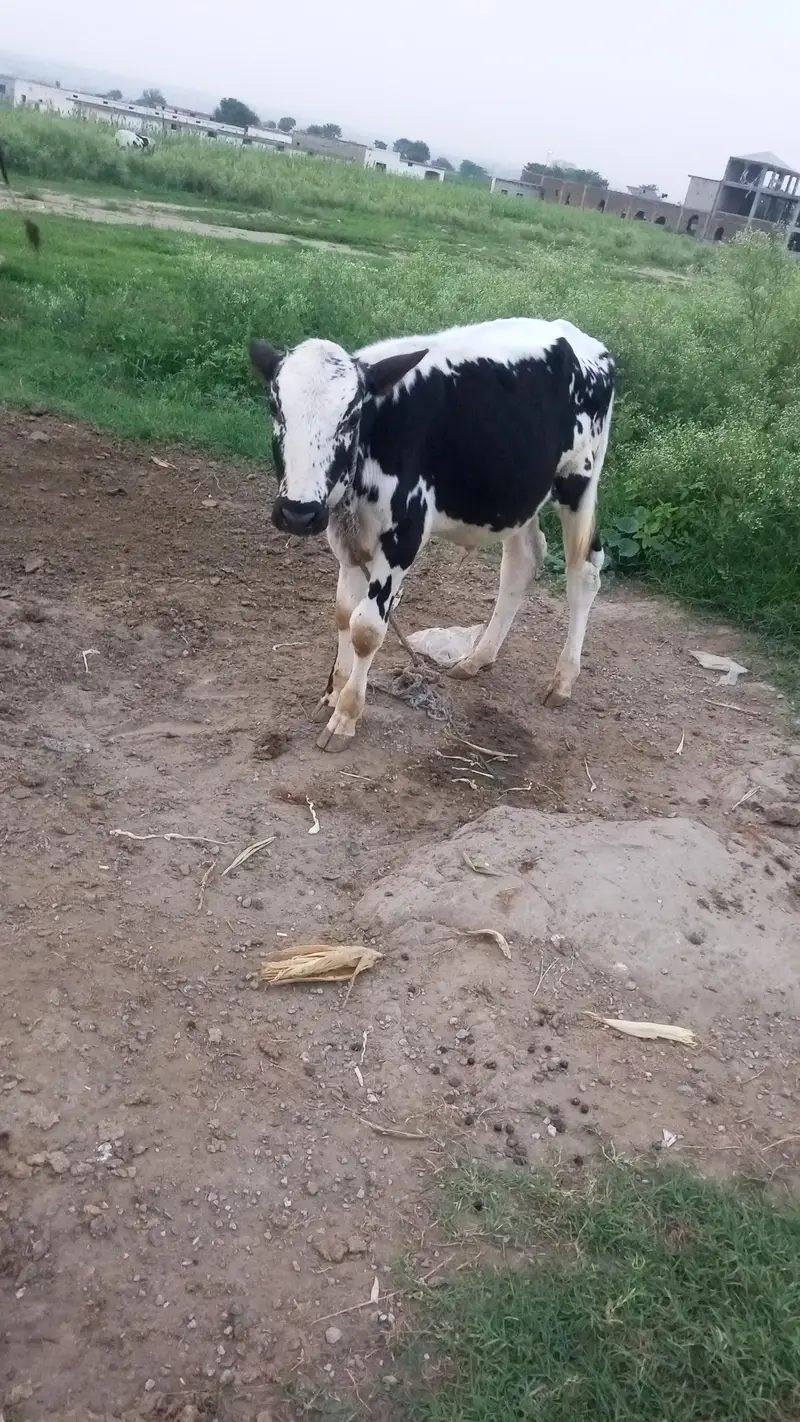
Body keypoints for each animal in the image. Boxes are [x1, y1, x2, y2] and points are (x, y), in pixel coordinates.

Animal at [249, 317, 615, 751]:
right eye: (275, 408)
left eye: (351, 417)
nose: (298, 513)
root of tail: (576, 335)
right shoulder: (343, 535)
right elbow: (342, 613)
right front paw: (332, 694)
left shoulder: (403, 538)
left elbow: (366, 629)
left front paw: (347, 715)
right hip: (519, 493)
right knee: (521, 562)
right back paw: (477, 658)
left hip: (579, 481)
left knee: (584, 572)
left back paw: (562, 680)